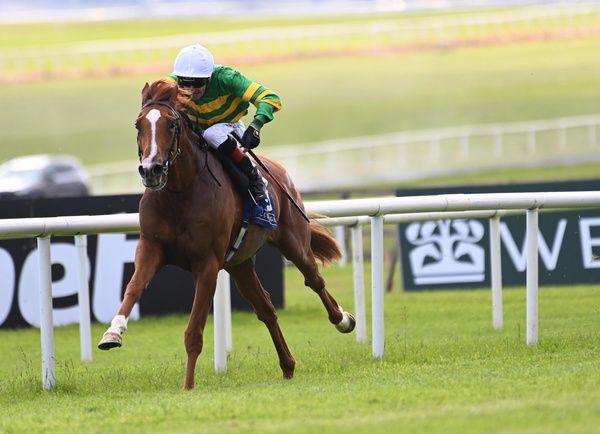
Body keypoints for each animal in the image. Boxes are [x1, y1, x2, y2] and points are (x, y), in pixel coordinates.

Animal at [96, 79, 354, 390]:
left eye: (171, 124)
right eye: (138, 124)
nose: (151, 170)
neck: (180, 193)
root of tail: (280, 170)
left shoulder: (207, 263)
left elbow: (194, 331)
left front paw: (188, 386)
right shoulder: (150, 248)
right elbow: (133, 287)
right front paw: (112, 333)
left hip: (293, 241)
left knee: (314, 279)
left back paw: (343, 320)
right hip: (240, 264)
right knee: (266, 309)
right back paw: (288, 366)